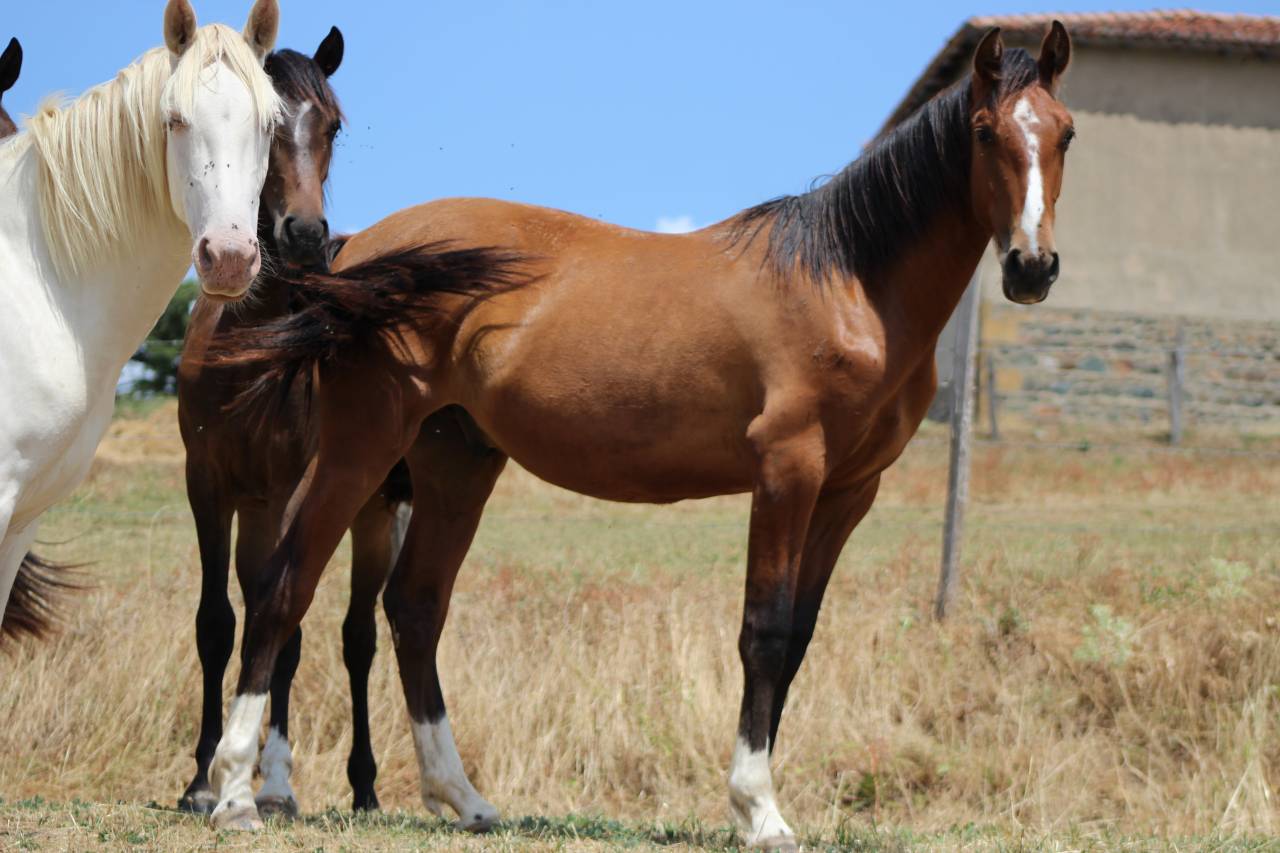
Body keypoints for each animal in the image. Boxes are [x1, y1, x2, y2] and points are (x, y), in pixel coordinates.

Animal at [175, 26, 410, 819]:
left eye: (332, 126)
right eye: (268, 128)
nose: (305, 233)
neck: (256, 341)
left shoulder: (296, 486)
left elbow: (287, 625)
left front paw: (258, 779)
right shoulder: (211, 485)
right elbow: (219, 623)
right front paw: (199, 779)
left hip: (377, 512)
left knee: (356, 637)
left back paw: (355, 785)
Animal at [204, 24, 1075, 846]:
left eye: (1064, 133)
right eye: (986, 131)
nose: (1032, 268)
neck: (846, 283)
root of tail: (354, 251)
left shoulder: (847, 492)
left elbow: (796, 637)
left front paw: (756, 799)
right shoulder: (786, 471)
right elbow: (764, 631)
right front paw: (759, 810)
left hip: (457, 460)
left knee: (415, 607)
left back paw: (463, 797)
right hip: (360, 446)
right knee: (284, 587)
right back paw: (238, 791)